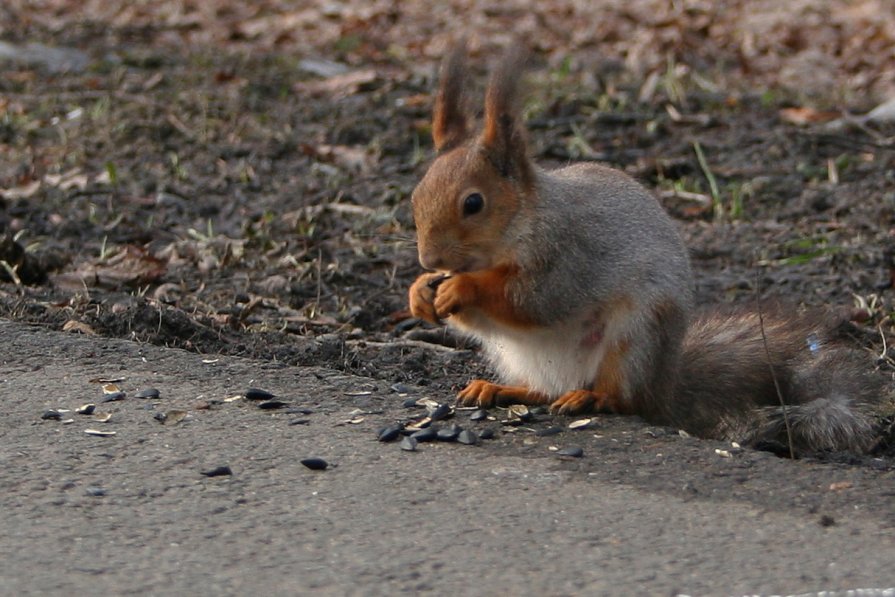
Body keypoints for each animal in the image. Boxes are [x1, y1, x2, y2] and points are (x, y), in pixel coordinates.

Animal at [408, 43, 888, 452]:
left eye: (474, 203)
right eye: (415, 195)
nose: (429, 258)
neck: (521, 224)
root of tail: (665, 386)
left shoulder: (567, 256)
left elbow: (531, 302)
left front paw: (461, 288)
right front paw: (420, 291)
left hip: (635, 339)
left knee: (622, 399)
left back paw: (590, 399)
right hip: (521, 357)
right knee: (544, 391)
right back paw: (501, 388)